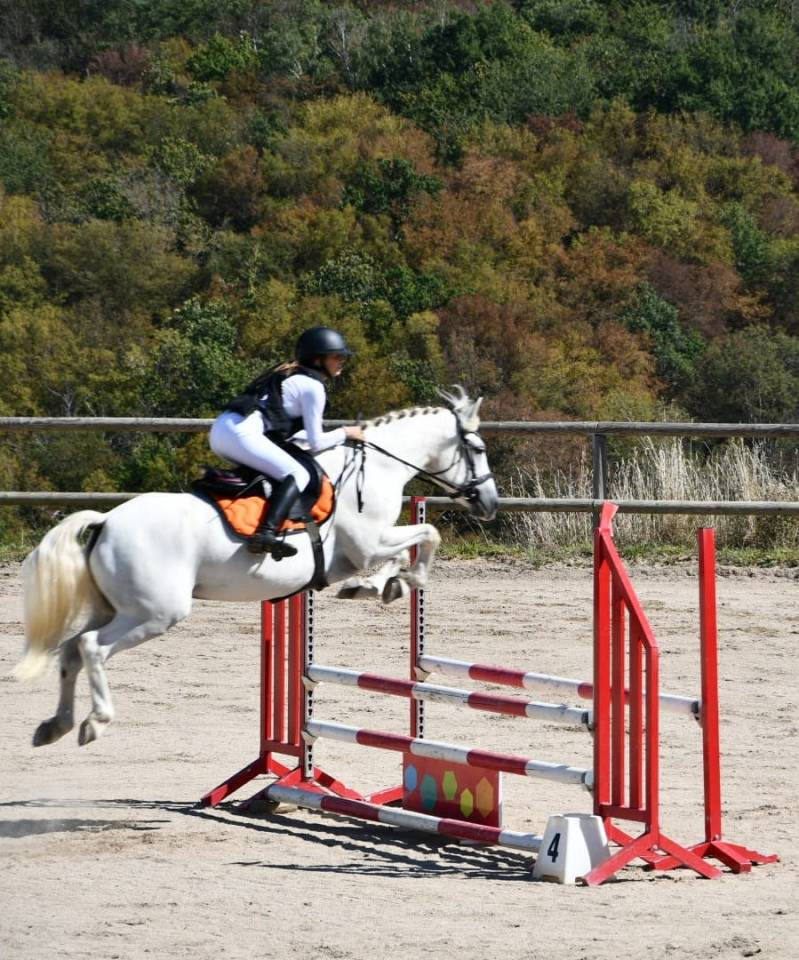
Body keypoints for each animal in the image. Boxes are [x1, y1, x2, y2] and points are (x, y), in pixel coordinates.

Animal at [15, 387, 498, 748]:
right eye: (477, 448)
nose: (490, 503)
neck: (376, 466)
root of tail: (106, 521)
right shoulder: (366, 543)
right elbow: (427, 535)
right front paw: (402, 582)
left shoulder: (354, 555)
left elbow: (401, 552)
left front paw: (379, 586)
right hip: (154, 613)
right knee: (92, 647)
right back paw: (94, 721)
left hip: (115, 607)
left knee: (70, 650)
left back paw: (54, 726)